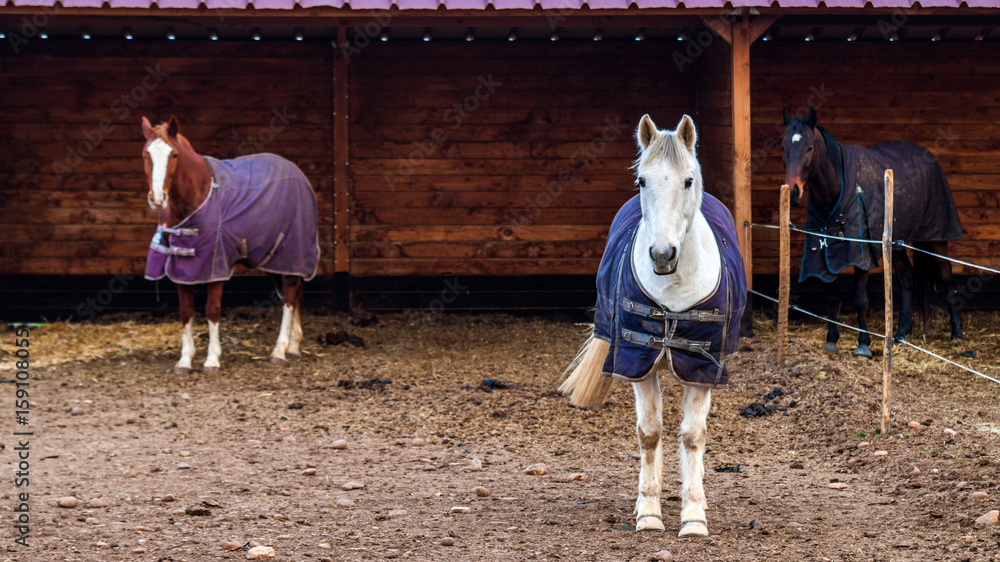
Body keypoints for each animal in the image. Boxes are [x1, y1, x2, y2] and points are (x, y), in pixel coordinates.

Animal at [141, 116, 320, 374]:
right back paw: (294, 347)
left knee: (288, 295)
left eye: (173, 155)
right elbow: (186, 311)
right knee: (292, 291)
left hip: (291, 251)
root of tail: (298, 175)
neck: (200, 194)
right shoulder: (183, 267)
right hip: (271, 258)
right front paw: (184, 361)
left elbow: (212, 310)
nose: (157, 199)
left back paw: (279, 351)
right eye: (146, 154)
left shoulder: (216, 265)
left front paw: (212, 360)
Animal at [560, 114, 747, 537]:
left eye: (688, 180)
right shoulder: (637, 360)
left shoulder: (701, 368)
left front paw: (693, 516)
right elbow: (649, 433)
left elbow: (693, 436)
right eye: (642, 180)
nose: (662, 255)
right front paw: (648, 511)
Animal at [781, 107, 963, 358]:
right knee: (906, 278)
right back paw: (901, 333)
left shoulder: (862, 254)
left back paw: (956, 333)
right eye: (784, 148)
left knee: (947, 278)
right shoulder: (824, 253)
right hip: (896, 242)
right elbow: (831, 296)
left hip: (936, 237)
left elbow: (860, 299)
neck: (837, 191)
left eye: (809, 147)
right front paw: (831, 339)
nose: (793, 192)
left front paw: (863, 344)